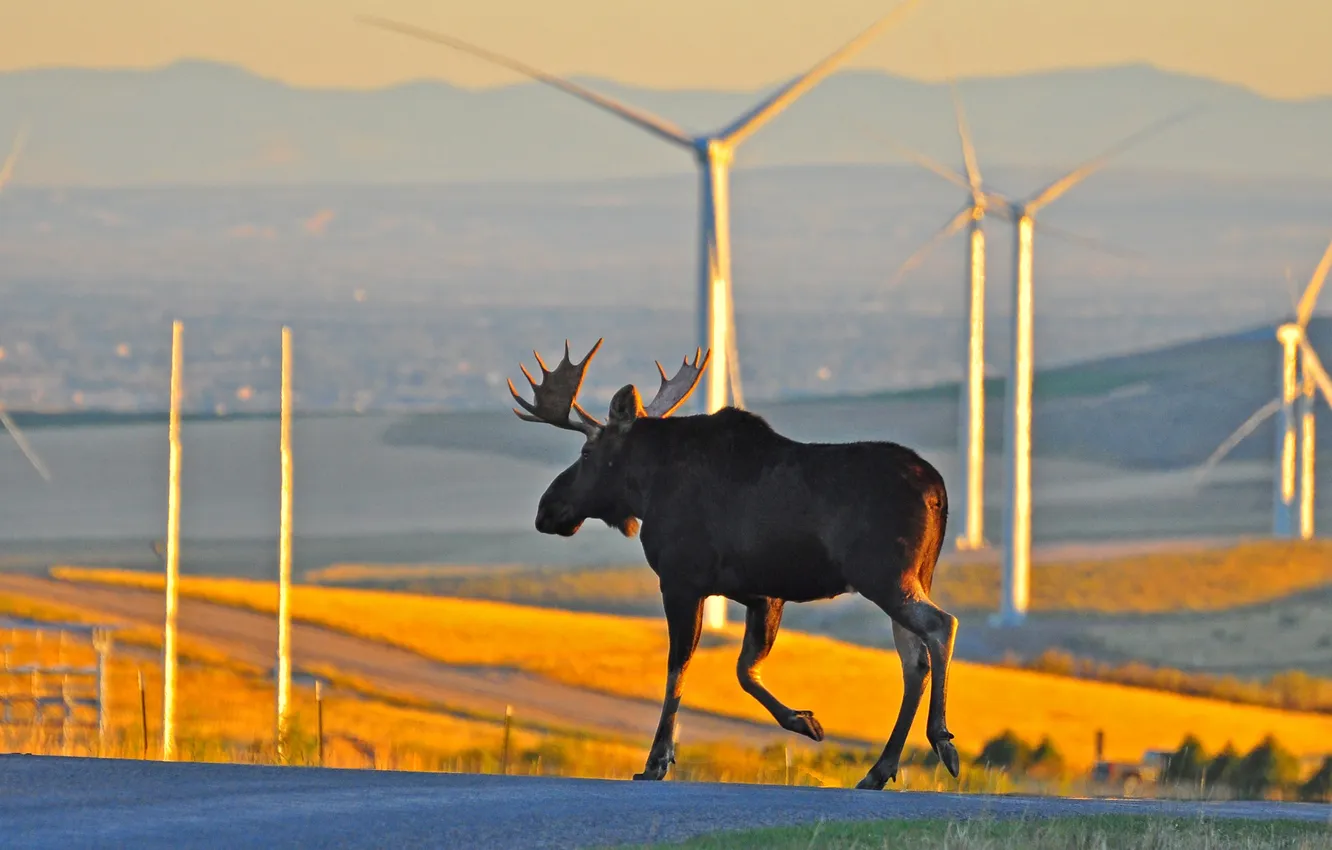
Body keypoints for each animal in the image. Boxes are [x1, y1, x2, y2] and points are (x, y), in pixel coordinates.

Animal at [507, 338, 960, 790]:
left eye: (586, 452)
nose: (546, 510)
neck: (648, 489)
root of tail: (939, 490)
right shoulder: (762, 594)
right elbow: (745, 670)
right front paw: (804, 721)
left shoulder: (681, 580)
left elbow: (678, 668)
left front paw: (657, 760)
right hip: (914, 575)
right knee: (914, 662)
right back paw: (879, 769)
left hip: (884, 575)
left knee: (941, 625)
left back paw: (941, 739)